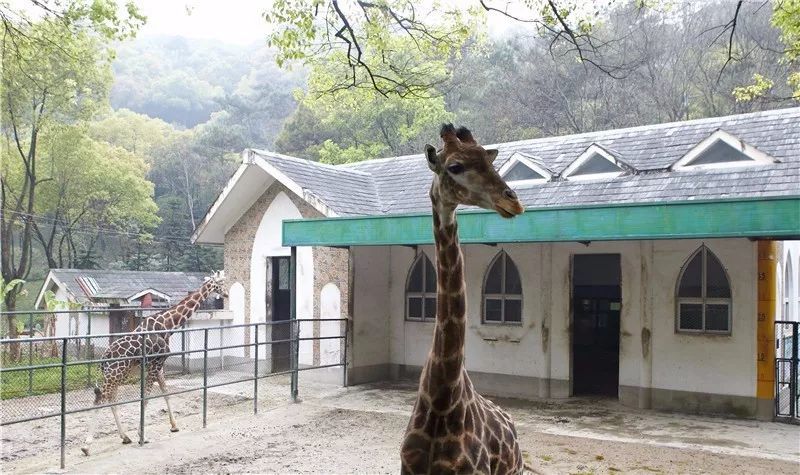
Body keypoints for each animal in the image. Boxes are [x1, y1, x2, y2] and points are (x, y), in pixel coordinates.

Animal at [81, 274, 227, 456]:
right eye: (221, 283)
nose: (226, 294)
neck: (168, 325)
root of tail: (104, 359)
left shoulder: (158, 366)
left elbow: (165, 392)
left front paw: (174, 426)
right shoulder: (155, 364)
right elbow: (147, 398)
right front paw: (142, 435)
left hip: (117, 375)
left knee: (111, 399)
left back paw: (125, 437)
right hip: (115, 373)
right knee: (100, 398)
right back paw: (86, 445)